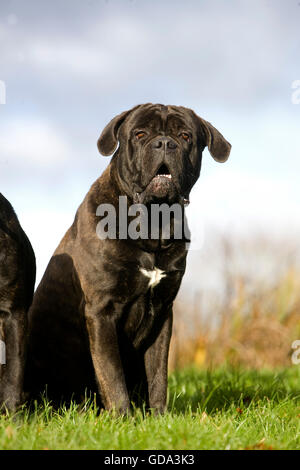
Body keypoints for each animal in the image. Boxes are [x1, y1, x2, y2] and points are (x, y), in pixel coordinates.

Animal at [25, 104, 232, 414]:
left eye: (185, 136)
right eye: (140, 133)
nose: (164, 143)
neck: (152, 222)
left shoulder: (162, 312)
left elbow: (158, 373)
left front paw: (159, 416)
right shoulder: (102, 311)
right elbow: (112, 373)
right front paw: (124, 416)